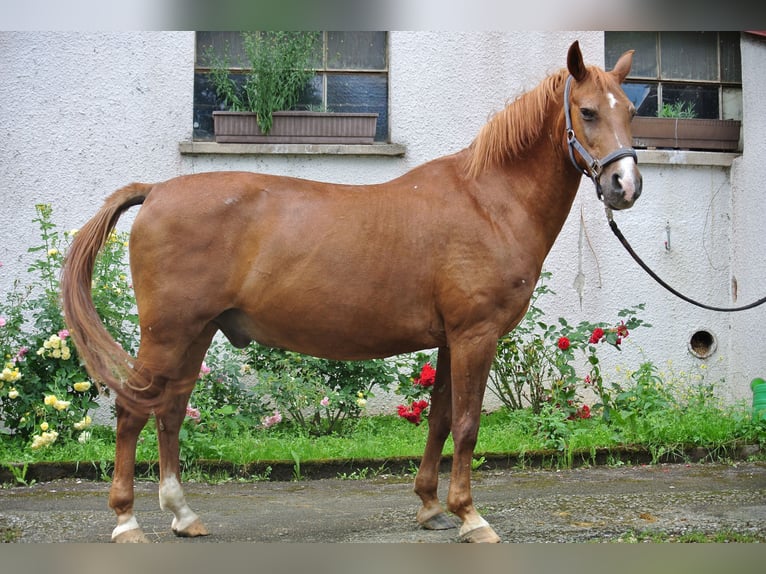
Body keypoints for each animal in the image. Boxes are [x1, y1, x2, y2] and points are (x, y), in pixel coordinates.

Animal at [61, 41, 640, 544]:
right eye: (588, 112)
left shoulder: (449, 340)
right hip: (168, 333)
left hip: (195, 333)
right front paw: (471, 516)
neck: (487, 200)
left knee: (171, 410)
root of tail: (157, 190)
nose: (625, 186)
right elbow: (468, 424)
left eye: (632, 110)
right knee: (133, 411)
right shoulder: (475, 336)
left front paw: (431, 506)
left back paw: (183, 514)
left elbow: (440, 418)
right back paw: (127, 522)